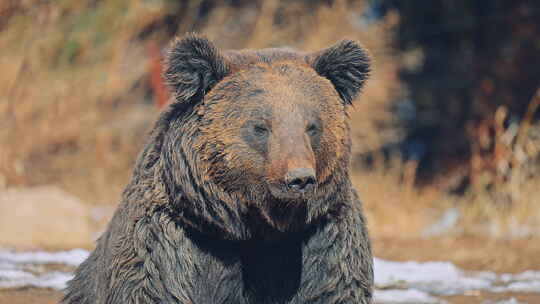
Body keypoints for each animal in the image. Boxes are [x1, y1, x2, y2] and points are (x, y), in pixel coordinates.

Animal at [62, 33, 372, 304]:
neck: (254, 230)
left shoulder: (321, 239)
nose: (299, 179)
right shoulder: (173, 239)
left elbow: (333, 287)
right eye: (260, 126)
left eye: (312, 126)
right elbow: (155, 285)